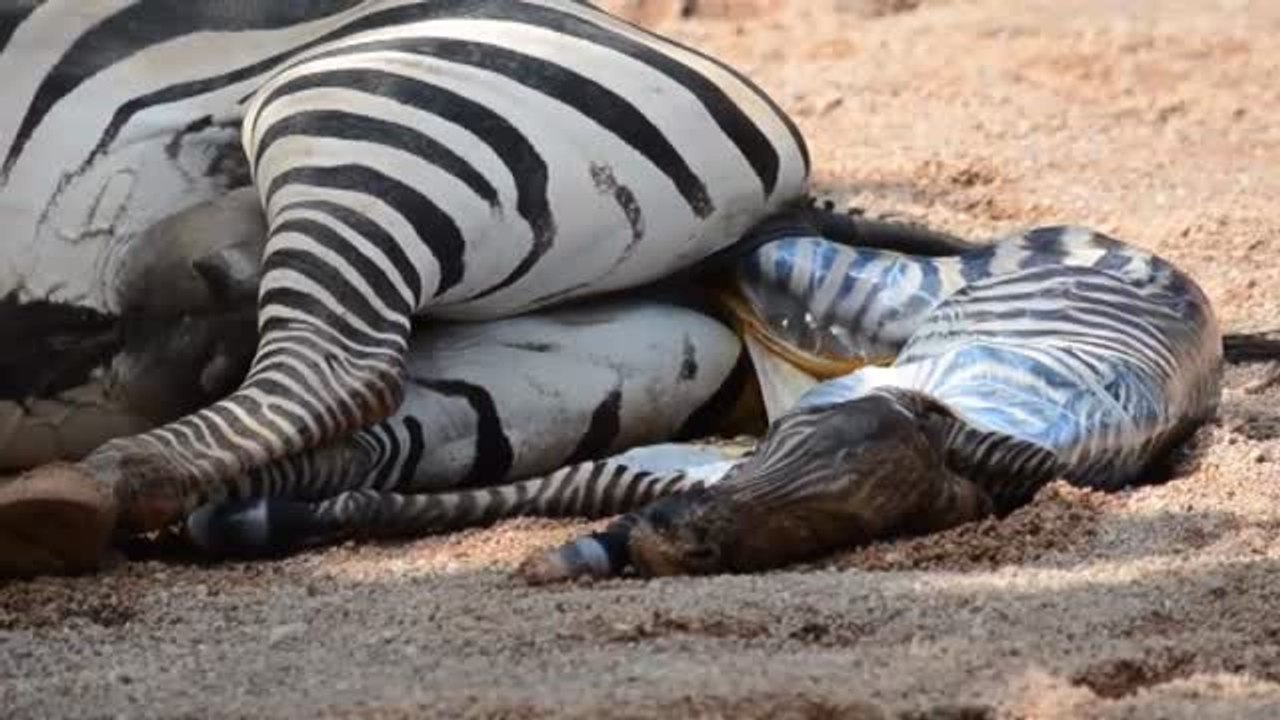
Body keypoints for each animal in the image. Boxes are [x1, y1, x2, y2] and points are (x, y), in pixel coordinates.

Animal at [517, 224, 1229, 581]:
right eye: (782, 445)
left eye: (826, 527)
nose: (666, 548)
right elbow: (578, 484)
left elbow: (593, 483)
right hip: (874, 292)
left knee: (744, 256)